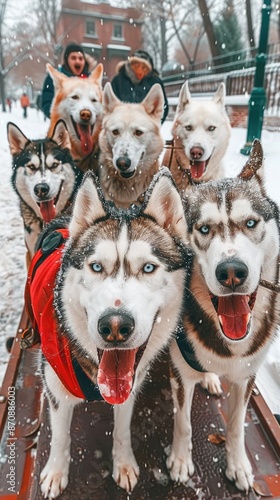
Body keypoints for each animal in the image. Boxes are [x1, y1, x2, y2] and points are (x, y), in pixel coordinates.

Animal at [24, 167, 192, 496]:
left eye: (149, 268)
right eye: (96, 267)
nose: (115, 326)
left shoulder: (129, 389)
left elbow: (123, 430)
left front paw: (124, 463)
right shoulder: (56, 391)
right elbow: (60, 437)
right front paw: (56, 472)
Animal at [166, 140, 280, 492]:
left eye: (251, 223)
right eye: (203, 229)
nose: (231, 271)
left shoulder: (246, 377)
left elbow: (236, 424)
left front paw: (238, 465)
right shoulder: (179, 374)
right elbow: (183, 421)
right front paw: (180, 460)